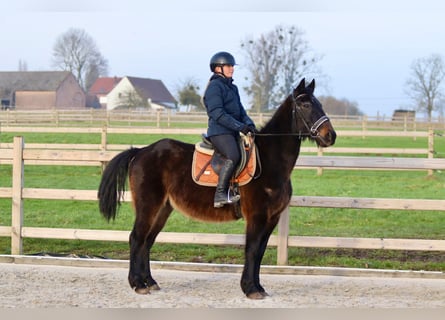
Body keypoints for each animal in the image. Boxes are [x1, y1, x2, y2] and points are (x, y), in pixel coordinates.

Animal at [97, 79, 332, 298]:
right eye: (305, 104)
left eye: (319, 103)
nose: (331, 135)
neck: (269, 161)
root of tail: (141, 151)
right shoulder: (256, 216)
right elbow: (252, 250)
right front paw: (250, 289)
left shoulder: (272, 217)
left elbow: (260, 252)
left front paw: (258, 287)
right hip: (148, 206)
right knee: (136, 239)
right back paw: (137, 284)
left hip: (163, 209)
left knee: (147, 241)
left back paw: (150, 282)